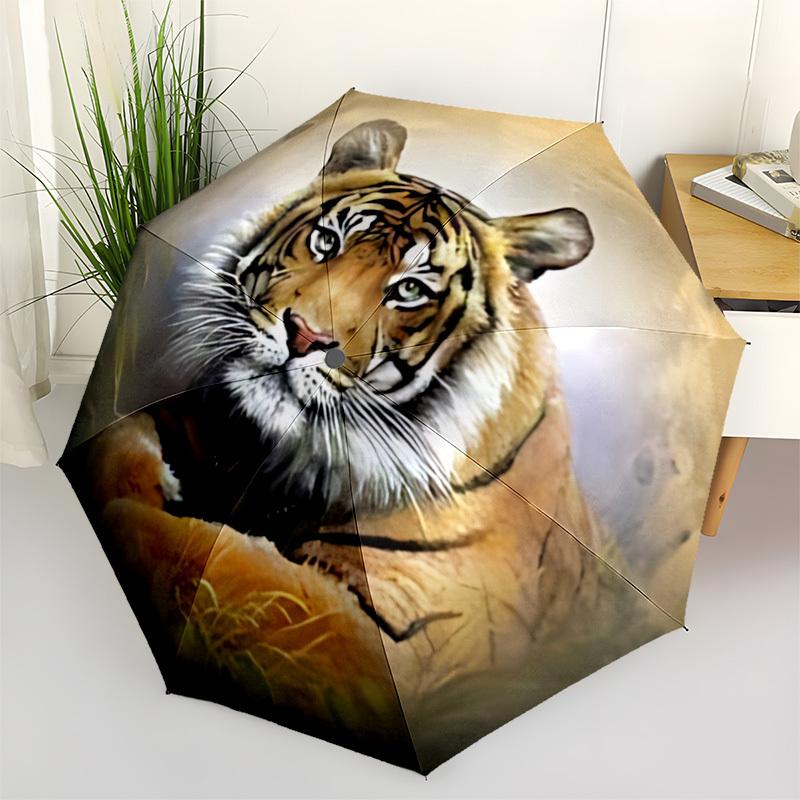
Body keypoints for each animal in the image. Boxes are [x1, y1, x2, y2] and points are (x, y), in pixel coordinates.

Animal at [77, 119, 663, 772]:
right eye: (327, 240)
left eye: (408, 290)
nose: (306, 336)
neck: (281, 455)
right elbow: (125, 438)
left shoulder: (400, 642)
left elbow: (231, 570)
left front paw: (132, 511)